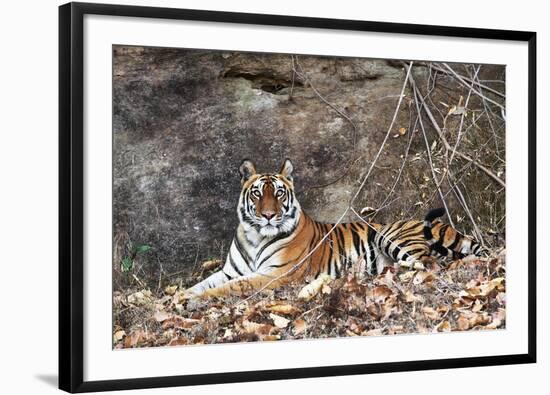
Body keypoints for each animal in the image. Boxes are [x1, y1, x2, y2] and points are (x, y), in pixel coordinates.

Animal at [185, 159, 484, 298]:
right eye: (257, 193)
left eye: (279, 193)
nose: (268, 216)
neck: (255, 236)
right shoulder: (229, 271)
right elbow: (204, 283)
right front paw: (184, 295)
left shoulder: (275, 274)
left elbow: (233, 287)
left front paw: (198, 300)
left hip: (391, 237)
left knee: (429, 264)